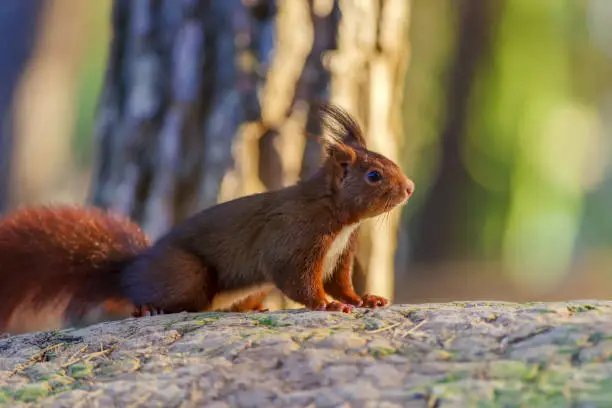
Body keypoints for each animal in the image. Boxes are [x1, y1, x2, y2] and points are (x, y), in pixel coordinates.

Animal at [0, 103, 414, 334]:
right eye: (374, 175)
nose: (409, 187)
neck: (337, 216)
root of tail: (131, 268)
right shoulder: (293, 237)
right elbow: (299, 281)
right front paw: (329, 306)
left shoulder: (340, 255)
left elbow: (341, 283)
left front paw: (366, 299)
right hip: (186, 273)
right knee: (153, 297)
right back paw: (148, 309)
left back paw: (253, 307)